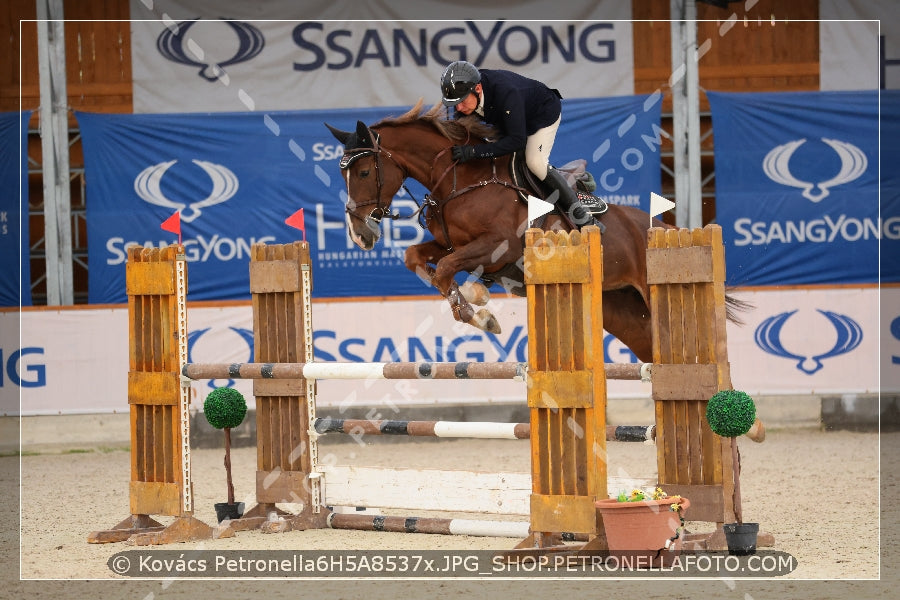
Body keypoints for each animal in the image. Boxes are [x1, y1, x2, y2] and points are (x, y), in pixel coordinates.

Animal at [326, 99, 736, 364]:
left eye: (364, 172)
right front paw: (475, 301)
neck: (457, 179)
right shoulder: (450, 244)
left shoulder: (499, 246)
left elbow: (444, 270)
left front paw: (480, 313)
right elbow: (421, 259)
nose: (359, 234)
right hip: (625, 312)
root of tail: (668, 229)